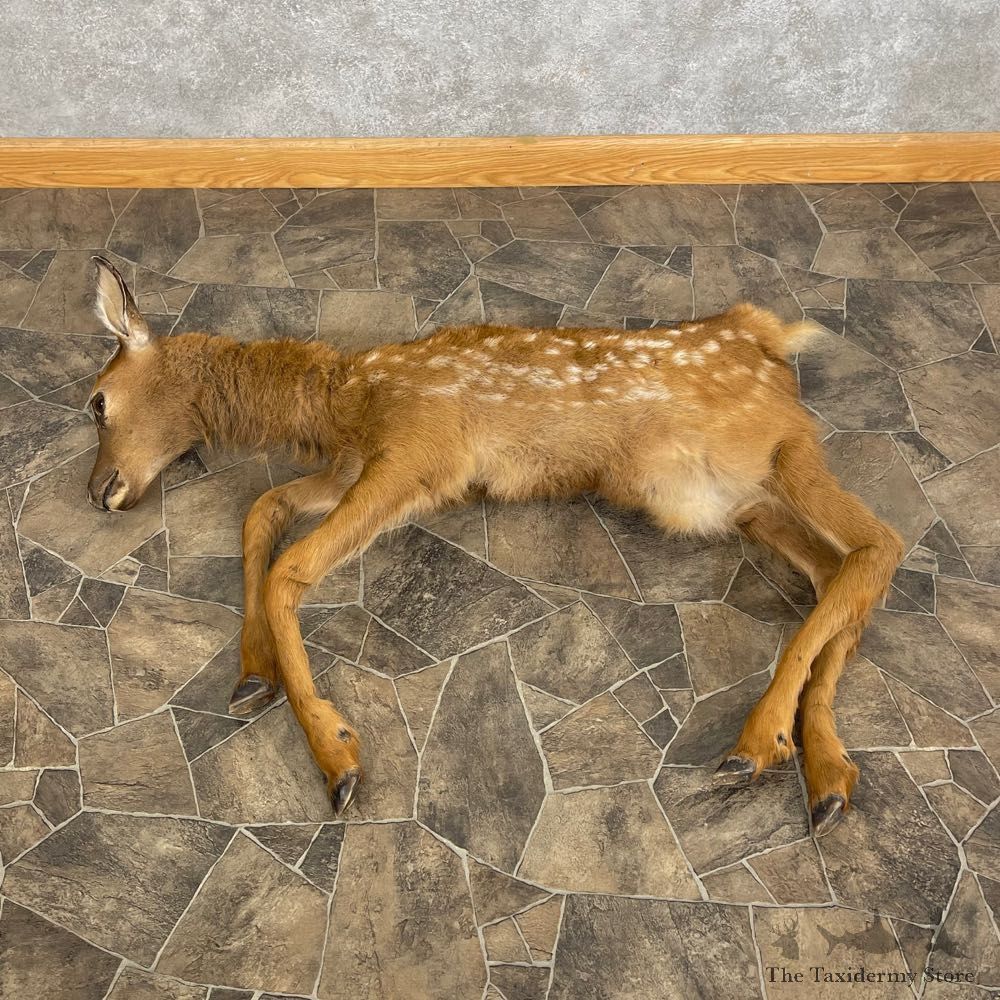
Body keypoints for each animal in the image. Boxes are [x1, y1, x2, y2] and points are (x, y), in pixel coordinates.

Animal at [84, 255, 902, 834]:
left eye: (95, 402)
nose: (96, 491)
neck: (348, 401)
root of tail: (769, 337)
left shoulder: (418, 456)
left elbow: (291, 566)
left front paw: (336, 753)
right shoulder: (354, 467)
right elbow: (263, 508)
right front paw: (253, 672)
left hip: (778, 445)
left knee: (879, 545)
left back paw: (760, 741)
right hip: (744, 501)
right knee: (835, 575)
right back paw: (828, 777)